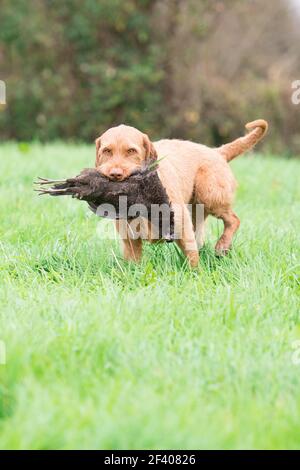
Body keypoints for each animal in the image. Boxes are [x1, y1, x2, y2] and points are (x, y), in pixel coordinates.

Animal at [95, 119, 268, 266]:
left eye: (131, 151)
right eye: (107, 151)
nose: (115, 174)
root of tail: (216, 152)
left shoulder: (181, 223)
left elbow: (192, 257)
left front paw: (196, 275)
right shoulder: (130, 238)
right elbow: (133, 263)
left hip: (210, 196)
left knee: (233, 220)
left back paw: (222, 245)